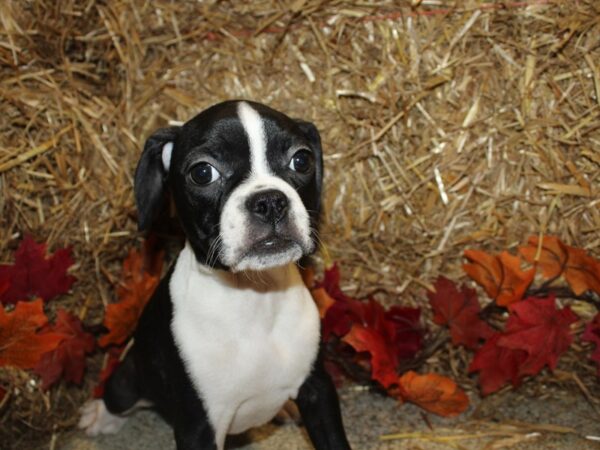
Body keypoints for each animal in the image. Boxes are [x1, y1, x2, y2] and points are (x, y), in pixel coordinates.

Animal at [79, 102, 352, 450]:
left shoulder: (318, 391)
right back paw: (101, 416)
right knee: (119, 394)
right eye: (203, 173)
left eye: (301, 160)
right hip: (130, 376)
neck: (254, 298)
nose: (269, 201)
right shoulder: (198, 426)